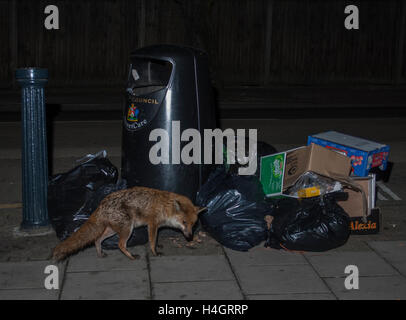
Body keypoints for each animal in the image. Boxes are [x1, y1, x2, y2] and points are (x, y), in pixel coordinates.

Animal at [52, 186, 205, 262]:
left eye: (193, 224)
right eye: (184, 222)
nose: (190, 237)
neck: (165, 206)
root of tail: (101, 203)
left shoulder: (156, 226)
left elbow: (155, 240)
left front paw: (158, 246)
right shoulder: (152, 224)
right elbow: (152, 241)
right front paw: (155, 252)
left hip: (113, 230)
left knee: (97, 239)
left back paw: (100, 254)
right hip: (127, 229)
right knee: (120, 245)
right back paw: (131, 257)